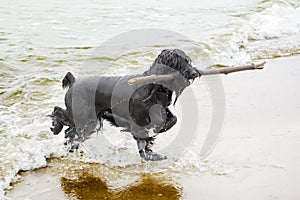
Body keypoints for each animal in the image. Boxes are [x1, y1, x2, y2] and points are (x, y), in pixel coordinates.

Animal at [50, 48, 200, 161]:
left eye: (187, 61)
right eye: (177, 62)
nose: (194, 73)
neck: (153, 86)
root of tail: (74, 82)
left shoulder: (161, 110)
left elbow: (172, 119)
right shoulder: (137, 119)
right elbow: (142, 137)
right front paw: (150, 153)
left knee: (70, 130)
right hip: (85, 118)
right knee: (62, 118)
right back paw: (57, 128)